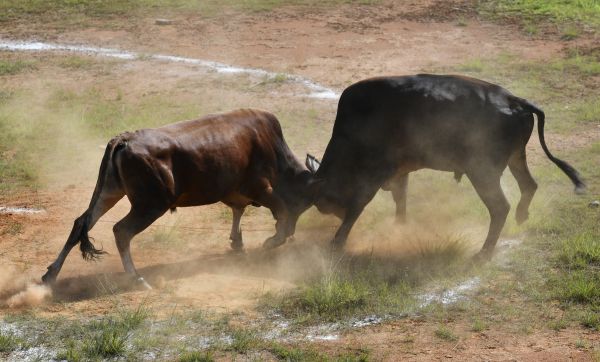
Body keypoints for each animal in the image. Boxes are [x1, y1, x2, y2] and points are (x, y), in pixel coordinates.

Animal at [41, 108, 314, 288]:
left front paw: (238, 244)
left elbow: (238, 211)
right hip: (150, 205)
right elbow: (279, 209)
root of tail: (124, 139)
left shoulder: (234, 193)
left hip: (109, 192)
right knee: (121, 231)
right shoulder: (261, 189)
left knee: (82, 222)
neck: (272, 146)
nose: (292, 232)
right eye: (302, 202)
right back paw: (137, 278)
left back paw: (51, 274)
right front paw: (272, 240)